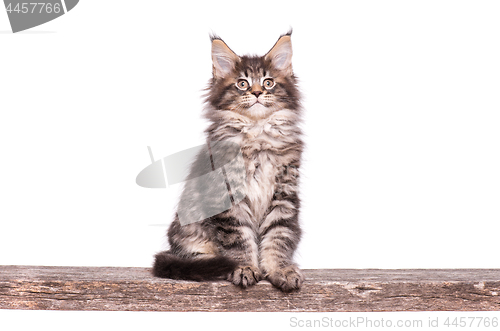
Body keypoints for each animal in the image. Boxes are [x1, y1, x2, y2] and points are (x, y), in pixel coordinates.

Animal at [152, 31, 302, 294]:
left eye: (268, 83)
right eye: (242, 83)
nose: (257, 93)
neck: (257, 135)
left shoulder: (284, 195)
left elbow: (278, 237)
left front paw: (281, 270)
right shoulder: (227, 197)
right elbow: (239, 240)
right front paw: (244, 268)